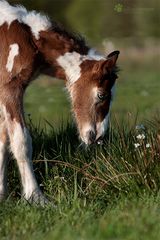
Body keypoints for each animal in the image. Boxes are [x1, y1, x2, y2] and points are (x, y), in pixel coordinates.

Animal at [0, 0, 119, 204]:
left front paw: (2, 196)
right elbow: (21, 141)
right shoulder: (9, 88)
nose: (98, 137)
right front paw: (36, 198)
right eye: (102, 95)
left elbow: (3, 142)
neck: (28, 37)